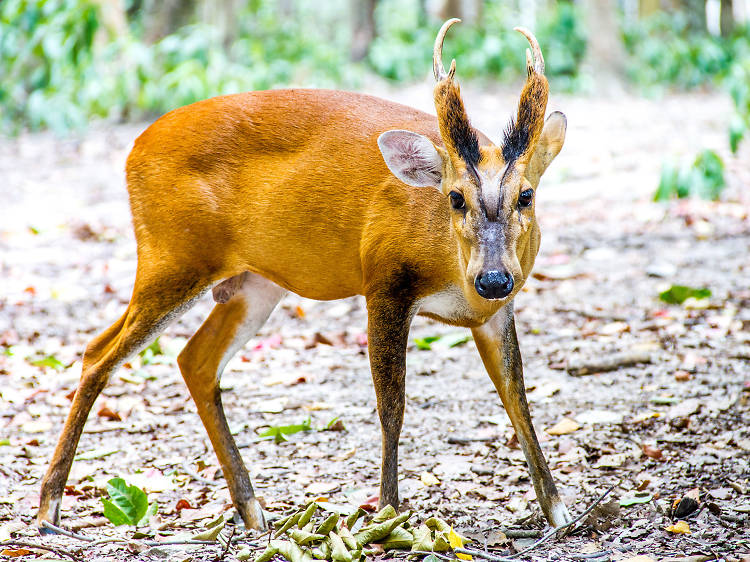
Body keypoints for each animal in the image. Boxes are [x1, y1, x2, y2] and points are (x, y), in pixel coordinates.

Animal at [36, 19, 568, 532]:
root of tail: (133, 150)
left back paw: (252, 509)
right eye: (456, 197)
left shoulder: (496, 313)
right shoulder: (384, 282)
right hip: (171, 257)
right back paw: (49, 510)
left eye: (526, 195)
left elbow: (518, 399)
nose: (494, 279)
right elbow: (391, 406)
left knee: (195, 360)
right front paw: (389, 513)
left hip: (252, 283)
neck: (454, 277)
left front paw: (557, 512)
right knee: (98, 352)